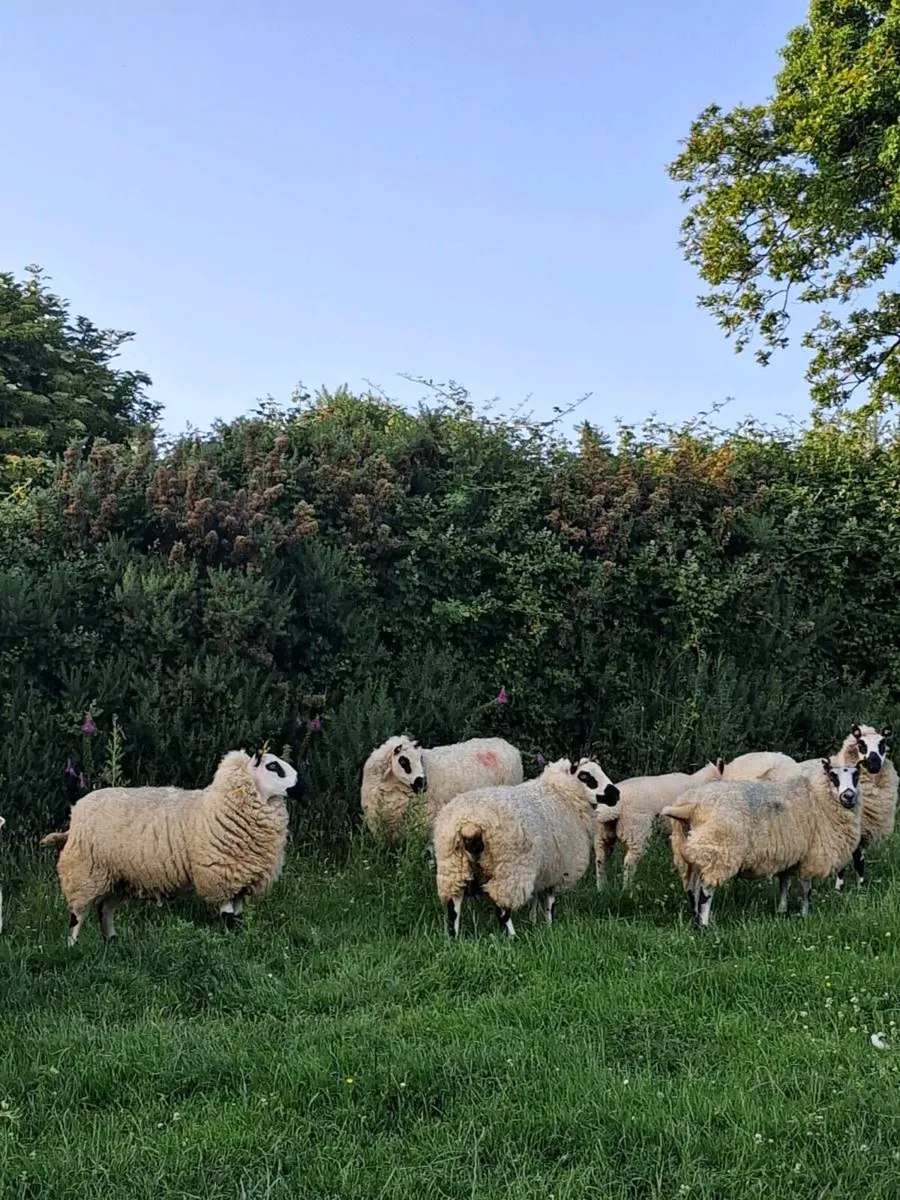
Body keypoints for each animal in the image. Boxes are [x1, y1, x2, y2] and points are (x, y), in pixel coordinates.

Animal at [40, 748, 304, 945]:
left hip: (118, 877)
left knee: (105, 909)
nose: (301, 788)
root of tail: (75, 814)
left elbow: (237, 917)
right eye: (273, 767)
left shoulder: (241, 880)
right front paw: (230, 942)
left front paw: (239, 940)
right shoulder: (221, 876)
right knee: (77, 914)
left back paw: (112, 942)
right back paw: (73, 947)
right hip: (84, 870)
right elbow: (228, 916)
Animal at [433, 756, 621, 939]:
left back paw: (453, 938)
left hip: (453, 867)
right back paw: (513, 938)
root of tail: (469, 824)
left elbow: (534, 898)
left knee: (453, 908)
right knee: (502, 910)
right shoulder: (558, 870)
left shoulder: (542, 870)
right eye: (585, 776)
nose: (616, 794)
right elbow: (550, 902)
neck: (562, 795)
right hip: (510, 871)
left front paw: (533, 921)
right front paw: (549, 925)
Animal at [594, 759, 724, 890]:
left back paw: (601, 888)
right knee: (629, 862)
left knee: (600, 859)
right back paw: (627, 888)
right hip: (636, 830)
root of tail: (612, 808)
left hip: (602, 833)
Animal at [662, 756, 862, 928]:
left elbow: (785, 884)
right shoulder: (811, 856)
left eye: (856, 775)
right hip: (718, 851)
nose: (849, 796)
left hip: (691, 854)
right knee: (705, 891)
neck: (820, 797)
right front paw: (804, 914)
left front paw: (782, 910)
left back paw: (695, 921)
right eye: (833, 776)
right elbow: (806, 889)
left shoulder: (789, 855)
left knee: (692, 890)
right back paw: (704, 925)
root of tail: (690, 807)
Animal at [834, 724, 896, 891]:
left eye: (883, 743)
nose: (873, 764)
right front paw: (840, 888)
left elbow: (859, 859)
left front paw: (861, 887)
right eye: (861, 744)